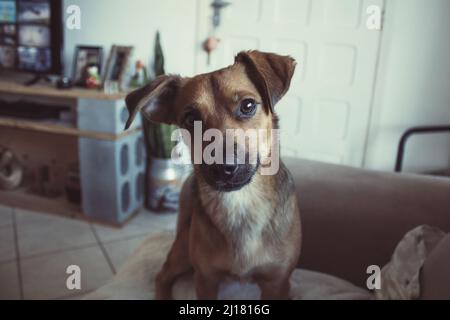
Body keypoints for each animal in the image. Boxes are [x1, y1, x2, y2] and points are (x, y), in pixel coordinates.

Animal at [124, 50, 302, 300]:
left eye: (248, 105)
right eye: (190, 119)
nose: (223, 166)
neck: (241, 202)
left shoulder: (277, 282)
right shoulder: (205, 278)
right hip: (183, 253)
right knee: (162, 276)